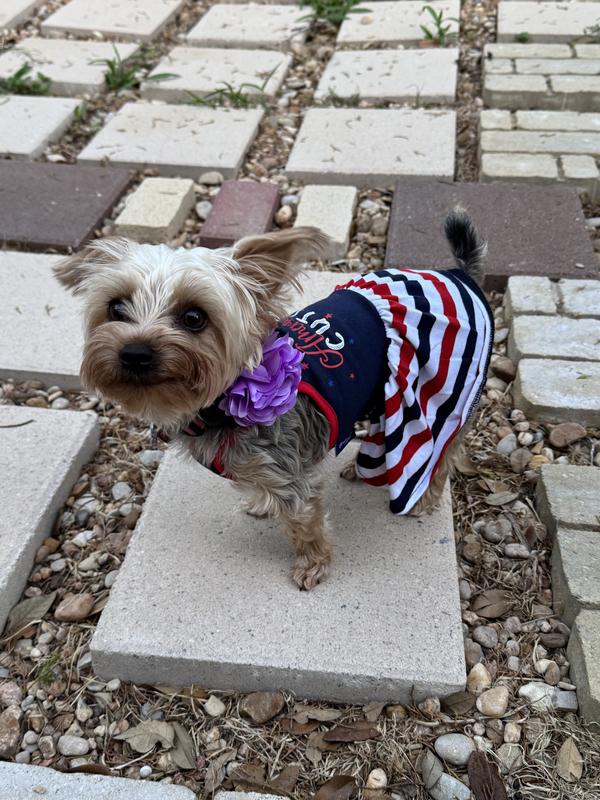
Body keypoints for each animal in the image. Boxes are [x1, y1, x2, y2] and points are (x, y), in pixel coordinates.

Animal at [54, 207, 493, 590]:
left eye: (194, 317)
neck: (222, 404)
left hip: (446, 387)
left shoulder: (291, 478)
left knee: (443, 450)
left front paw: (312, 565)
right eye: (116, 307)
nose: (134, 353)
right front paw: (261, 505)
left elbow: (304, 523)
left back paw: (423, 496)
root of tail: (460, 275)